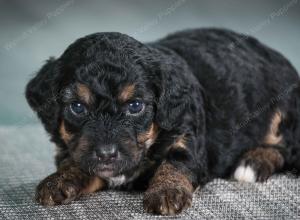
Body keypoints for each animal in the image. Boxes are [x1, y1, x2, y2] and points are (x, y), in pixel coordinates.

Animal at [25, 27, 300, 215]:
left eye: (135, 106)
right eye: (77, 107)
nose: (106, 153)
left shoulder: (188, 137)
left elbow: (176, 163)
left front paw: (167, 191)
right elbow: (76, 161)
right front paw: (58, 180)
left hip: (284, 108)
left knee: (288, 148)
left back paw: (253, 162)